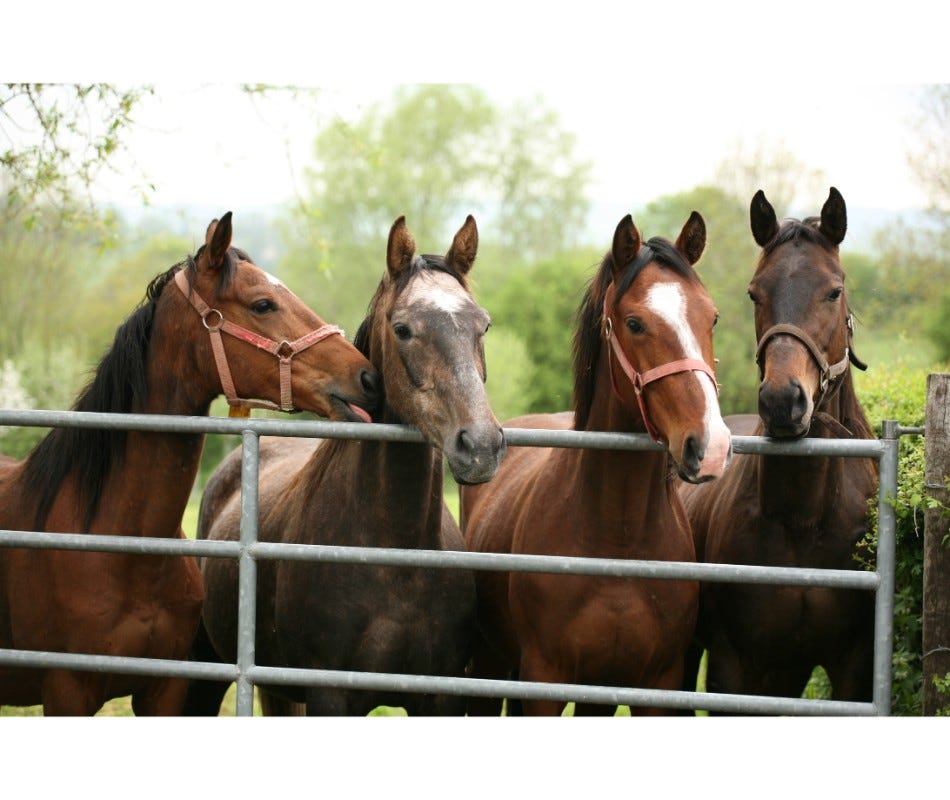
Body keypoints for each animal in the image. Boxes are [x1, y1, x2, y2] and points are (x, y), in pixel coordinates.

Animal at [183, 216, 510, 716]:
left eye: (484, 325)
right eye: (403, 329)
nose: (481, 445)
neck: (396, 559)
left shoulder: (440, 696)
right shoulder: (331, 695)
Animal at [464, 211, 732, 712]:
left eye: (712, 317)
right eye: (634, 323)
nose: (711, 447)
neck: (617, 539)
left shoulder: (655, 685)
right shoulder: (543, 681)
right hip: (489, 661)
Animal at [680, 188, 880, 708]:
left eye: (834, 291)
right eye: (755, 293)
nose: (781, 401)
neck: (803, 520)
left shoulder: (852, 668)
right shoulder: (732, 666)